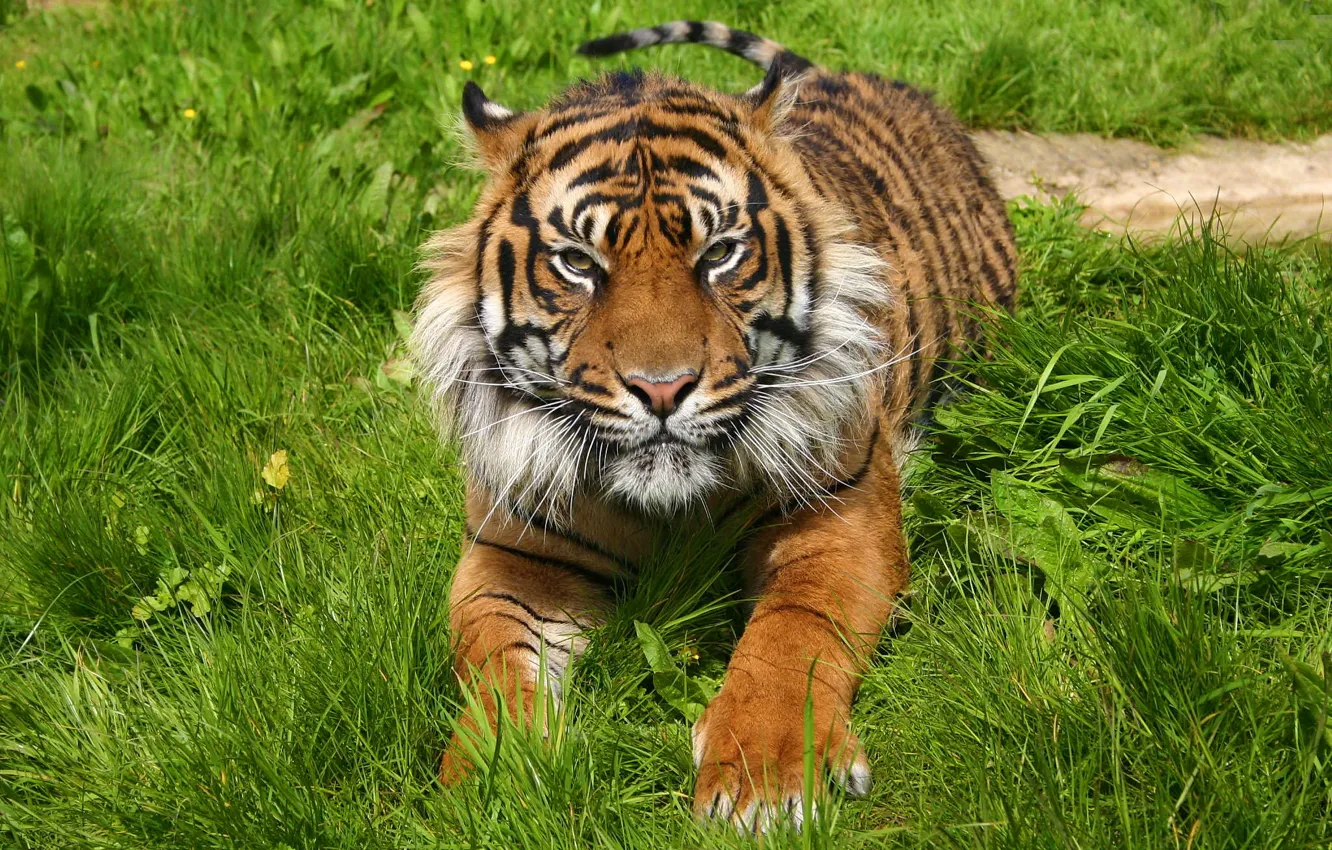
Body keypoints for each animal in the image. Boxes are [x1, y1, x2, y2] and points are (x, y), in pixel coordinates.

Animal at [412, 20, 1016, 831]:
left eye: (720, 253)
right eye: (578, 263)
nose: (662, 389)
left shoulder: (841, 516)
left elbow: (792, 634)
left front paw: (764, 779)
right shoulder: (512, 559)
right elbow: (494, 678)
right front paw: (489, 791)